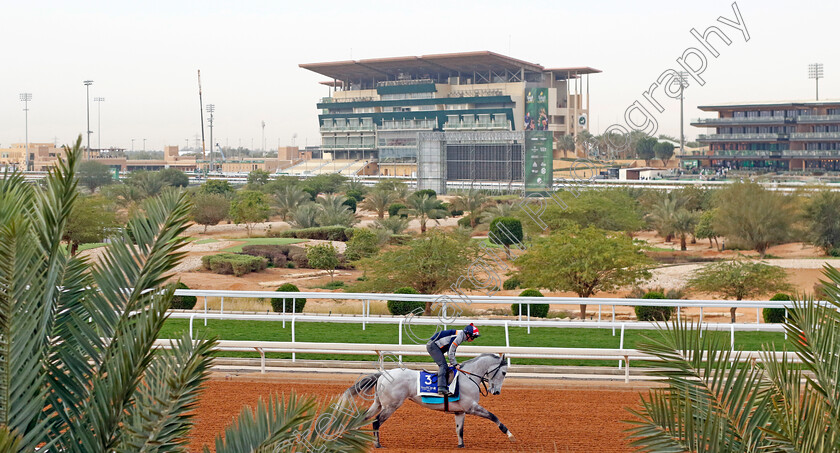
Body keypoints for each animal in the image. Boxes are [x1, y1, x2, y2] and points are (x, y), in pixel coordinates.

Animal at [340, 354, 512, 448]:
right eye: (504, 372)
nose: (496, 392)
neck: (468, 377)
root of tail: (382, 374)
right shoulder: (471, 407)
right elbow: (493, 416)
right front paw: (509, 434)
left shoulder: (460, 411)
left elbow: (459, 430)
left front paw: (461, 445)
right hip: (391, 406)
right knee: (376, 422)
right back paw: (377, 444)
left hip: (378, 403)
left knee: (363, 418)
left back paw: (355, 437)